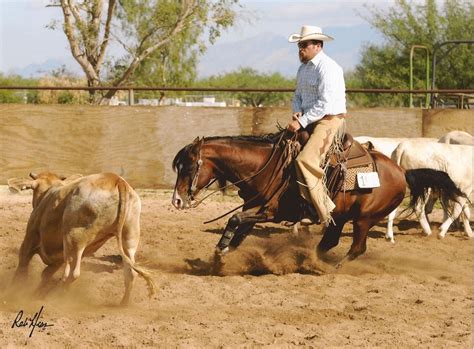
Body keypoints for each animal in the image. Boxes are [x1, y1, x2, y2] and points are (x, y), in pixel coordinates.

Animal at [13, 171, 156, 304]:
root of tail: (117, 180)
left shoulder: (29, 239)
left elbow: (23, 266)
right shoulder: (58, 258)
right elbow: (45, 274)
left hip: (75, 238)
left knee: (72, 273)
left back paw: (58, 297)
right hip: (130, 235)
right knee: (131, 272)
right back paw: (123, 304)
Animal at [172, 130, 464, 266]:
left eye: (188, 167)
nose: (176, 200)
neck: (267, 166)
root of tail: (402, 171)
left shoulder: (271, 212)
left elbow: (234, 220)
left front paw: (221, 251)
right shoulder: (254, 207)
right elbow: (239, 230)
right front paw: (222, 256)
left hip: (364, 219)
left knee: (356, 248)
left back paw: (328, 267)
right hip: (342, 216)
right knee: (330, 242)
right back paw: (310, 259)